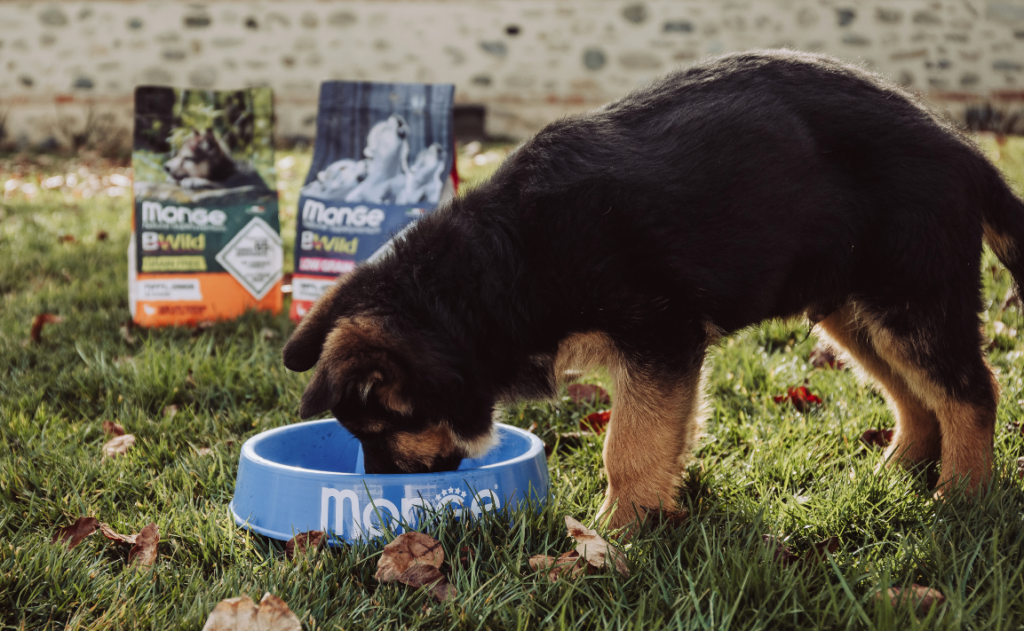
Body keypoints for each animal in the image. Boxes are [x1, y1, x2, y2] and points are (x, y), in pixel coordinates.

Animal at [284, 51, 1024, 528]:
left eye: (379, 429)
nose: (384, 502)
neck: (497, 270)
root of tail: (965, 150)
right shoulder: (665, 352)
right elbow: (661, 435)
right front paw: (653, 513)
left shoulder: (660, 338)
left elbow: (630, 446)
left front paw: (613, 534)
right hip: (853, 309)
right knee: (914, 395)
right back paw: (896, 474)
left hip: (911, 298)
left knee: (970, 390)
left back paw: (960, 498)